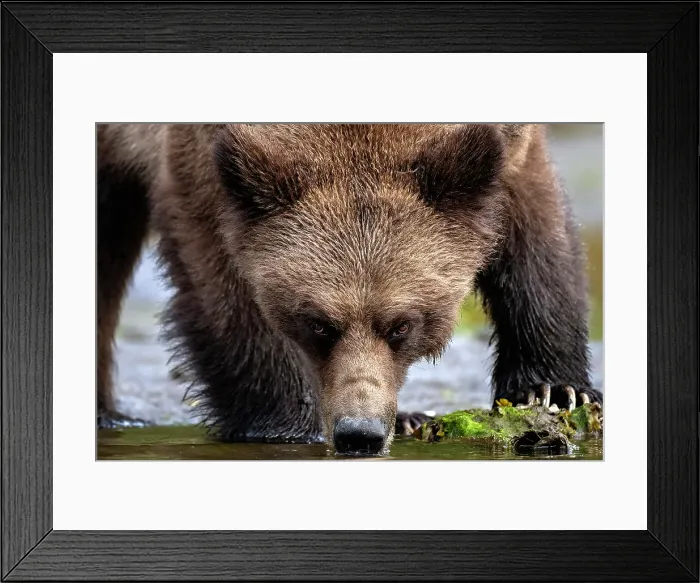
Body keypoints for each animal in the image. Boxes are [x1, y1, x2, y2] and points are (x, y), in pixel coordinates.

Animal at [97, 123, 602, 456]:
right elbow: (225, 293)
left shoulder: (509, 144)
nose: (359, 433)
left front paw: (553, 391)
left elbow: (536, 230)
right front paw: (287, 426)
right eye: (318, 324)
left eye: (401, 325)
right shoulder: (200, 160)